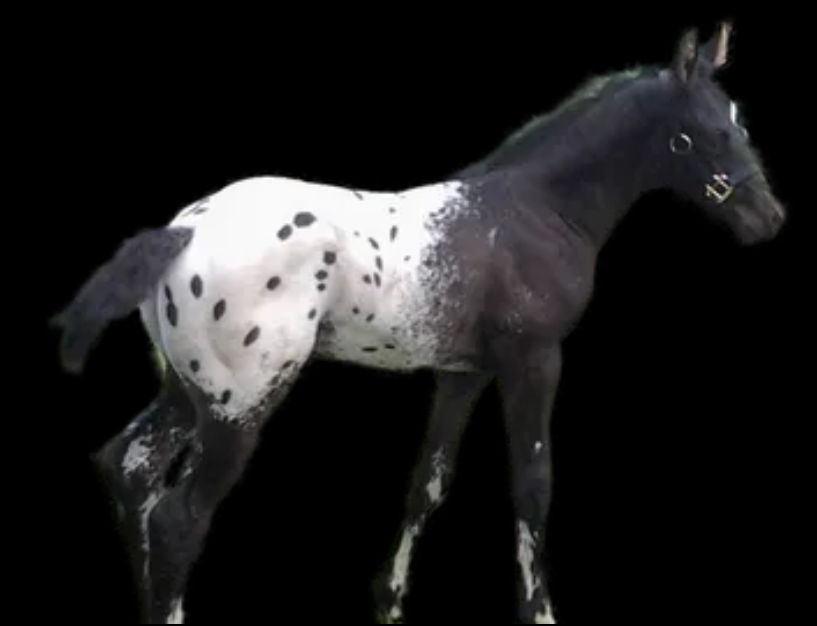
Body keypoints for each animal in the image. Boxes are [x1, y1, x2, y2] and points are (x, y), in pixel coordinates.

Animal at [51, 22, 786, 623]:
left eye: (738, 119)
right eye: (701, 131)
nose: (769, 218)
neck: (532, 212)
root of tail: (180, 232)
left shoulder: (463, 373)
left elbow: (427, 485)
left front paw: (391, 600)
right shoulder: (534, 359)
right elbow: (533, 484)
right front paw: (539, 610)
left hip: (188, 390)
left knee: (129, 469)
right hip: (240, 405)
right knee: (179, 518)